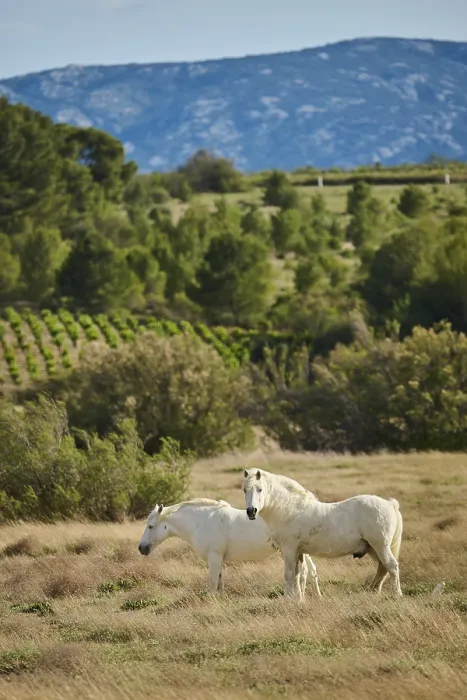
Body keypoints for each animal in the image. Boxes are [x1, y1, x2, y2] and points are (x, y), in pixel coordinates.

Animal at [138, 498, 321, 596]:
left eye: (151, 526)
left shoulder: (214, 557)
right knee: (310, 572)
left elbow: (212, 585)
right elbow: (219, 584)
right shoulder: (219, 560)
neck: (201, 522)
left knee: (304, 573)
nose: (141, 548)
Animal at [242, 469, 403, 600]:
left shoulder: (289, 550)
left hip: (381, 546)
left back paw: (396, 595)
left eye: (260, 489)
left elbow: (289, 575)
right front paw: (298, 599)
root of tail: (390, 504)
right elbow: (298, 575)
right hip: (373, 549)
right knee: (382, 568)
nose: (251, 511)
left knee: (392, 566)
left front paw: (288, 599)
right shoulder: (299, 553)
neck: (290, 509)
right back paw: (374, 591)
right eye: (244, 490)